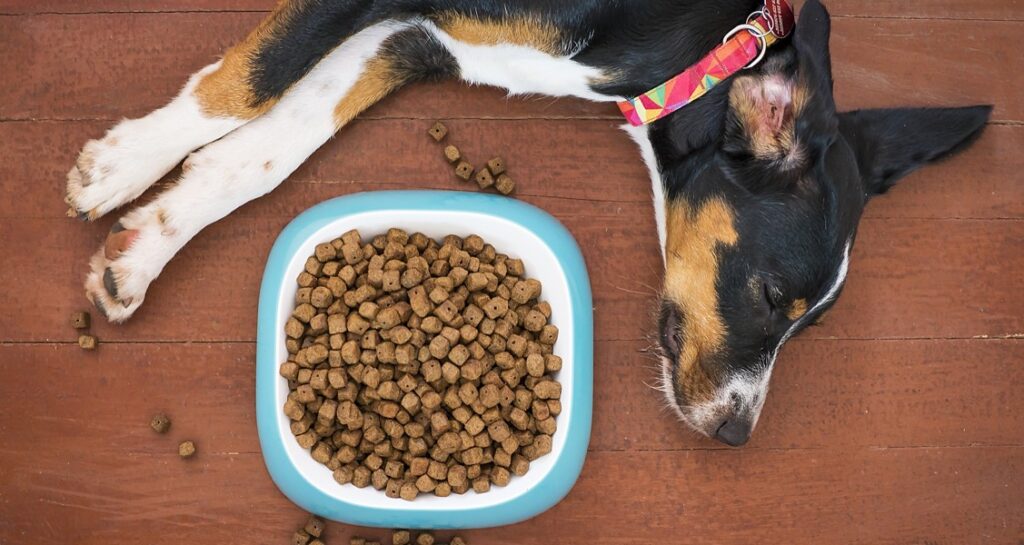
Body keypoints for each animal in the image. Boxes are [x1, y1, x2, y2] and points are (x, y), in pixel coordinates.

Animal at [61, 0, 983, 446]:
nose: (734, 435)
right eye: (766, 294)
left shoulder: (418, 39)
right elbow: (252, 80)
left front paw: (148, 241)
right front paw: (123, 164)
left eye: (810, 326)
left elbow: (270, 146)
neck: (704, 41)